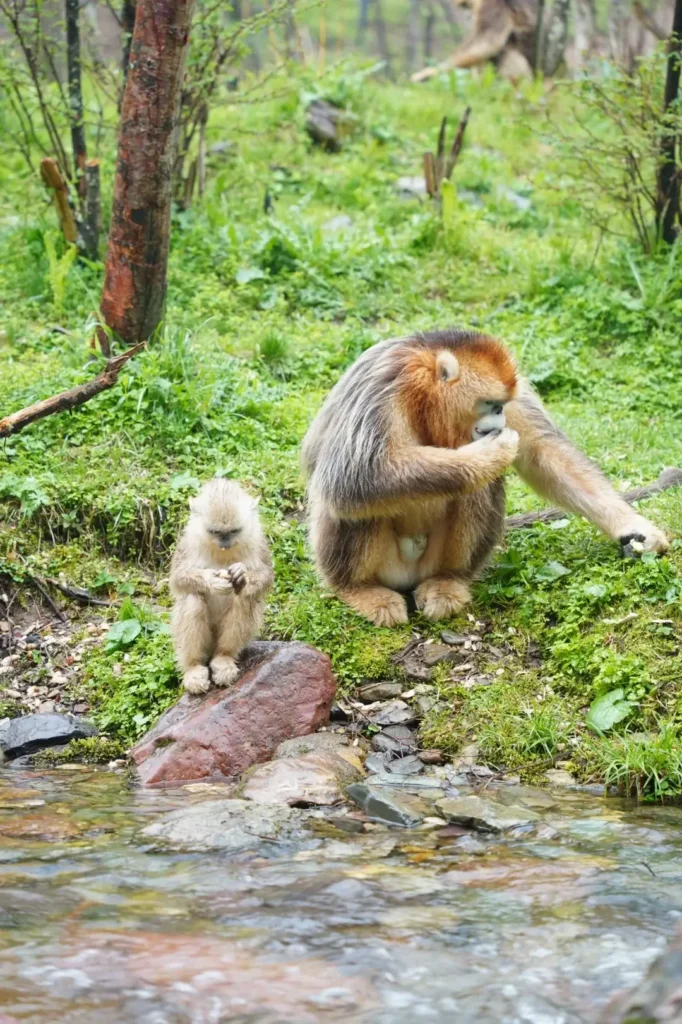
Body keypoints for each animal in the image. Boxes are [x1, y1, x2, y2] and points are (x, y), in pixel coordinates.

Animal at [169, 479, 273, 694]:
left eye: (233, 531)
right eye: (215, 532)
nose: (225, 542)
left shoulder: (258, 540)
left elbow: (265, 576)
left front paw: (242, 575)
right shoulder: (188, 540)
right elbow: (177, 578)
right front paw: (211, 581)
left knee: (243, 597)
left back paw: (224, 657)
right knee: (193, 598)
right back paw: (193, 667)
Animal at [301, 329, 669, 628]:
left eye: (502, 405)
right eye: (490, 404)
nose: (499, 419)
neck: (423, 392)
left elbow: (542, 452)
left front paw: (634, 527)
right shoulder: (383, 383)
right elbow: (352, 480)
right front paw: (491, 454)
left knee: (477, 489)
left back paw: (449, 580)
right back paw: (357, 589)